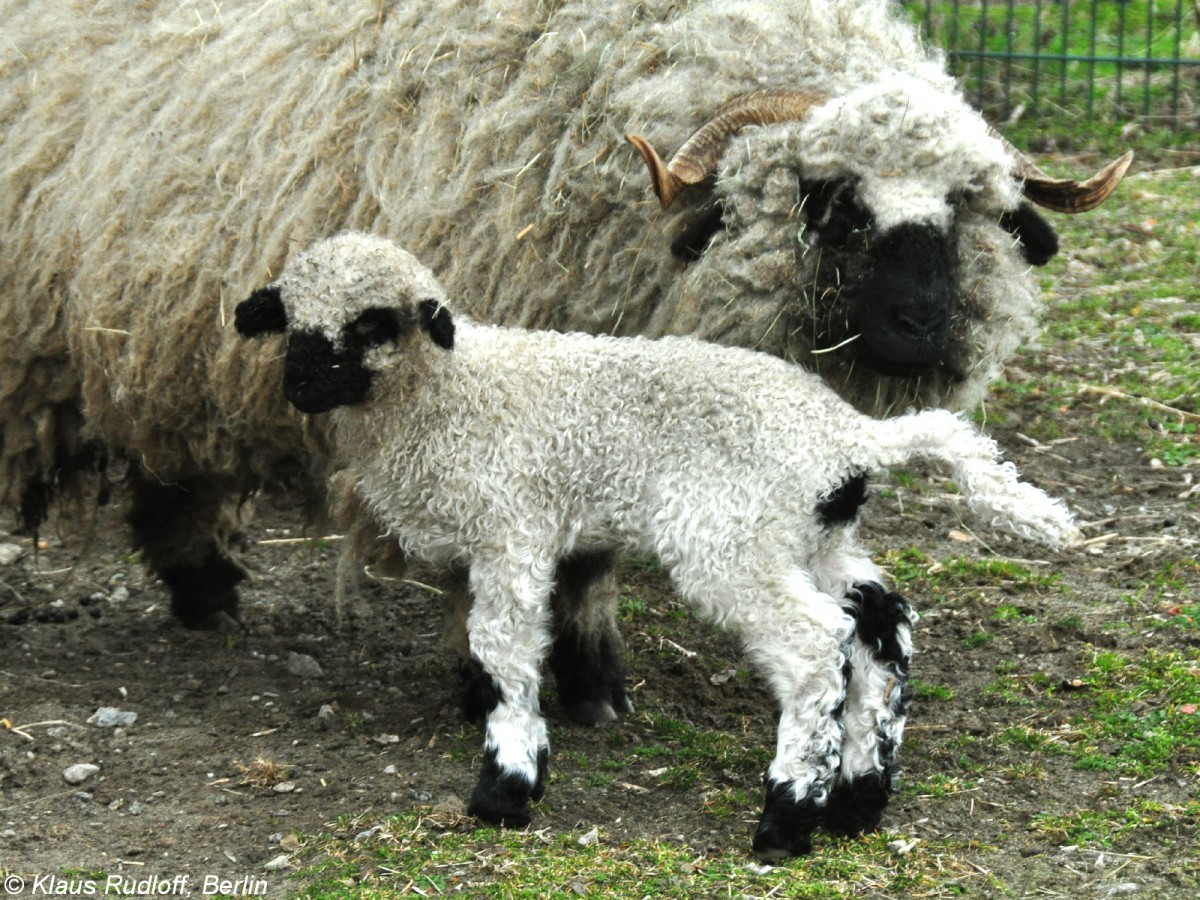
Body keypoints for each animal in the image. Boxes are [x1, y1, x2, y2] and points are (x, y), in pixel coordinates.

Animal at [0, 0, 1123, 696]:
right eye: (831, 203)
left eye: (973, 208)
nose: (918, 328)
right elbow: (561, 568)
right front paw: (568, 682)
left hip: (148, 335)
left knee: (166, 467)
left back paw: (207, 596)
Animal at [234, 236, 1080, 864]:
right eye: (287, 319)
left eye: (373, 324)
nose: (301, 384)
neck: (451, 392)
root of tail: (852, 437)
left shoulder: (512, 526)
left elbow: (503, 648)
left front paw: (509, 785)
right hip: (810, 535)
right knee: (882, 622)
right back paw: (858, 800)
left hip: (731, 538)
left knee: (816, 646)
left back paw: (786, 820)